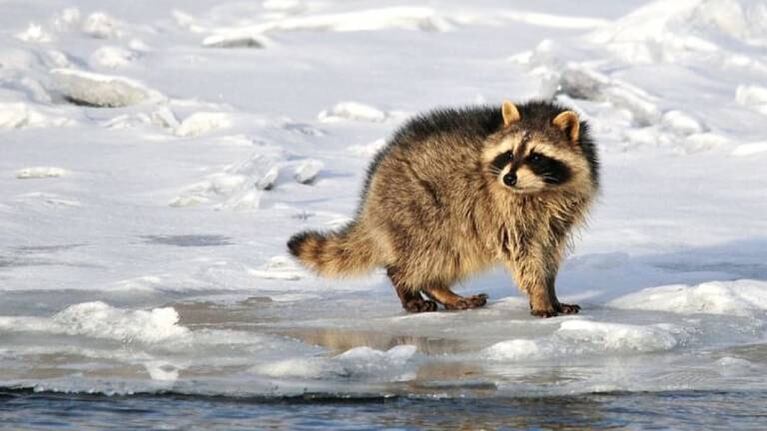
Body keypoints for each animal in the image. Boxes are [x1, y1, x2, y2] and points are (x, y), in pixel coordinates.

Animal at [288, 100, 600, 318]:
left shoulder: (558, 214)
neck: (540, 190)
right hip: (419, 207)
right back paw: (408, 285)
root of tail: (373, 189)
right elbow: (523, 254)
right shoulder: (503, 209)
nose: (509, 178)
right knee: (426, 253)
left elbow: (548, 252)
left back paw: (439, 289)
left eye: (536, 157)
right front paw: (540, 295)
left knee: (452, 253)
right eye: (509, 154)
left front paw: (552, 292)